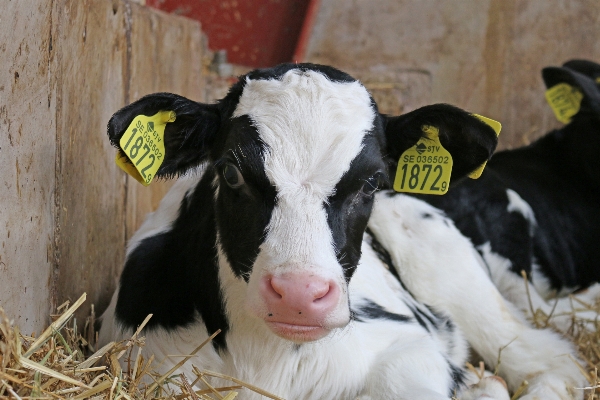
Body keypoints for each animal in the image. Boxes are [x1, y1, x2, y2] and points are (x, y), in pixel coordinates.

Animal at [99, 64, 584, 398]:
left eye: (370, 182)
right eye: (231, 173)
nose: (298, 294)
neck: (268, 360)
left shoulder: (409, 344)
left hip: (459, 282)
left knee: (552, 360)